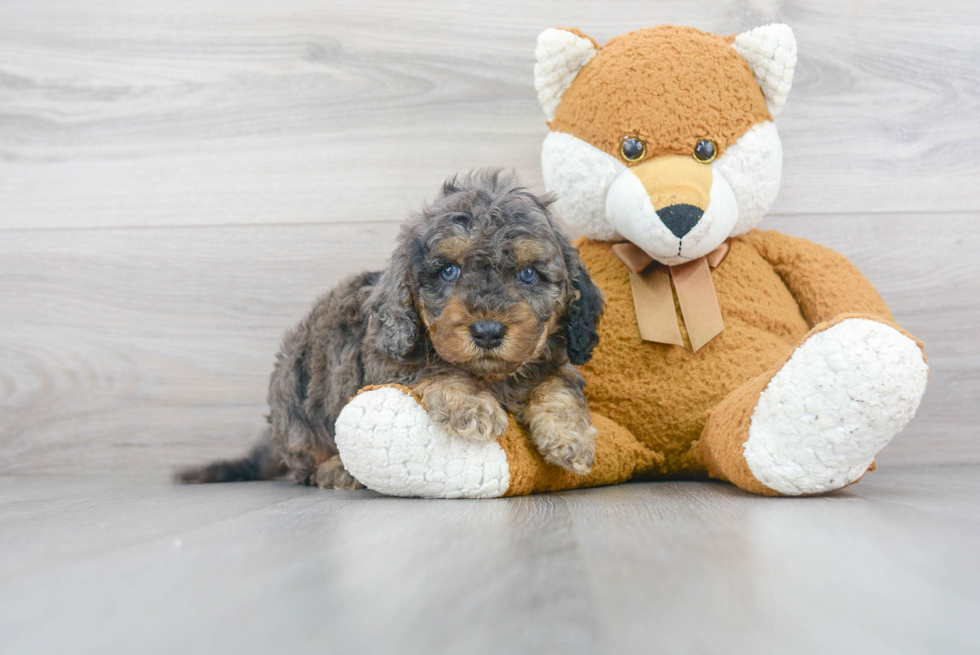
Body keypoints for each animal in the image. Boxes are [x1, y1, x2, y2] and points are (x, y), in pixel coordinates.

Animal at [178, 172, 604, 490]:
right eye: (449, 270)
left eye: (528, 274)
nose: (487, 331)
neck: (493, 377)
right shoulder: (389, 360)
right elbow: (437, 367)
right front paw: (473, 405)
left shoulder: (556, 360)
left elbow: (559, 384)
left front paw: (571, 438)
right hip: (295, 399)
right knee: (307, 464)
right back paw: (338, 471)